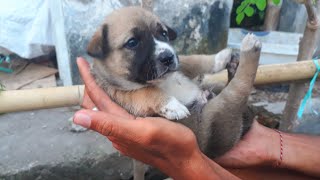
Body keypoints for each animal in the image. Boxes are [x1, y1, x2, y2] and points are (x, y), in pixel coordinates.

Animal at [87, 6, 260, 179]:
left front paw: (220, 58)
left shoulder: (182, 66)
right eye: (132, 42)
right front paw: (173, 105)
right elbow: (146, 92)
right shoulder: (122, 94)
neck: (162, 81)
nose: (168, 57)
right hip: (219, 110)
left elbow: (195, 60)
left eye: (163, 33)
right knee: (240, 86)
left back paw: (234, 64)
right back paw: (250, 49)